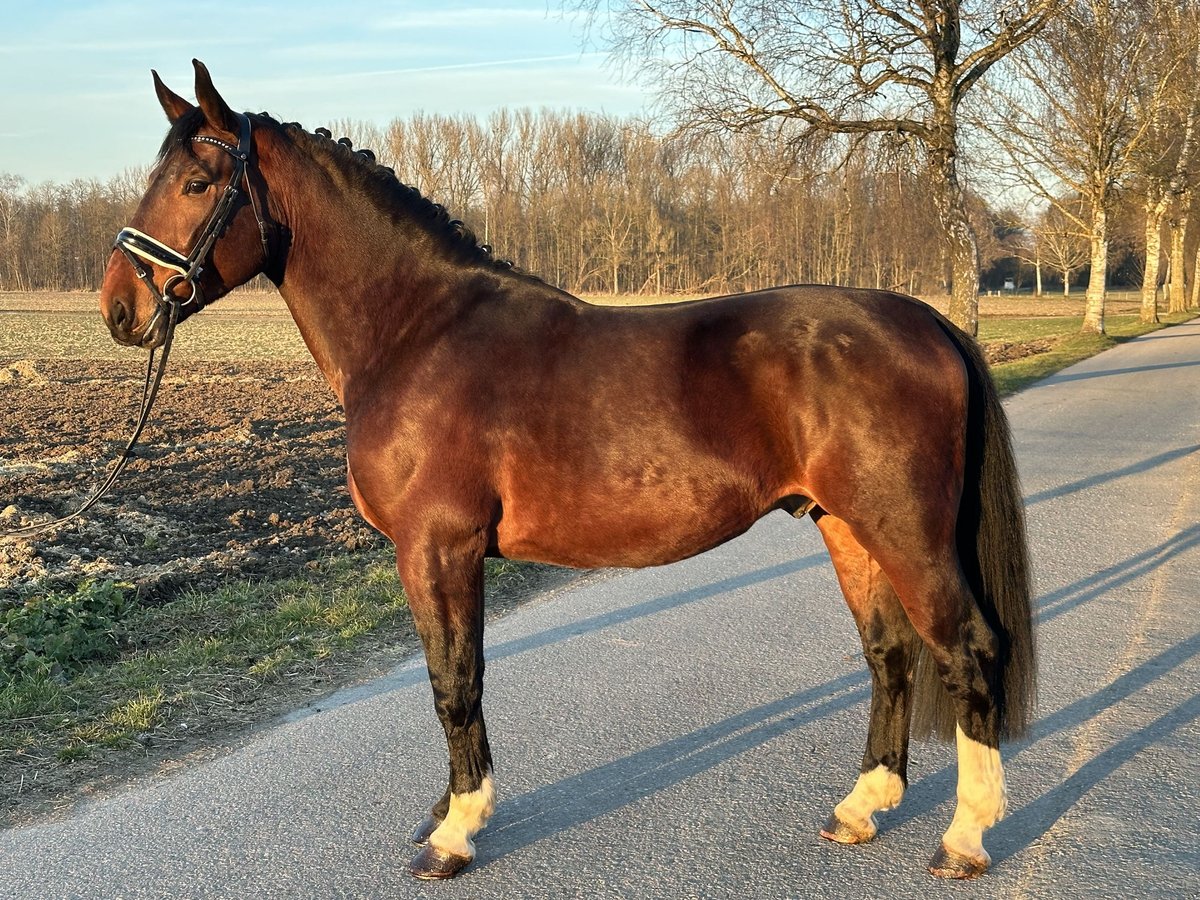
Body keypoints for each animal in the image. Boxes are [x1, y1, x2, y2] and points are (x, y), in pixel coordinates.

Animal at [98, 61, 1036, 883]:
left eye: (195, 185)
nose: (118, 309)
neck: (417, 332)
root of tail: (928, 322)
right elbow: (453, 681)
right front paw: (444, 812)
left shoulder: (436, 548)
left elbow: (454, 685)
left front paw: (455, 834)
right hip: (846, 524)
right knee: (890, 655)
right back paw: (861, 808)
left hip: (905, 532)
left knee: (968, 648)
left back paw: (964, 838)